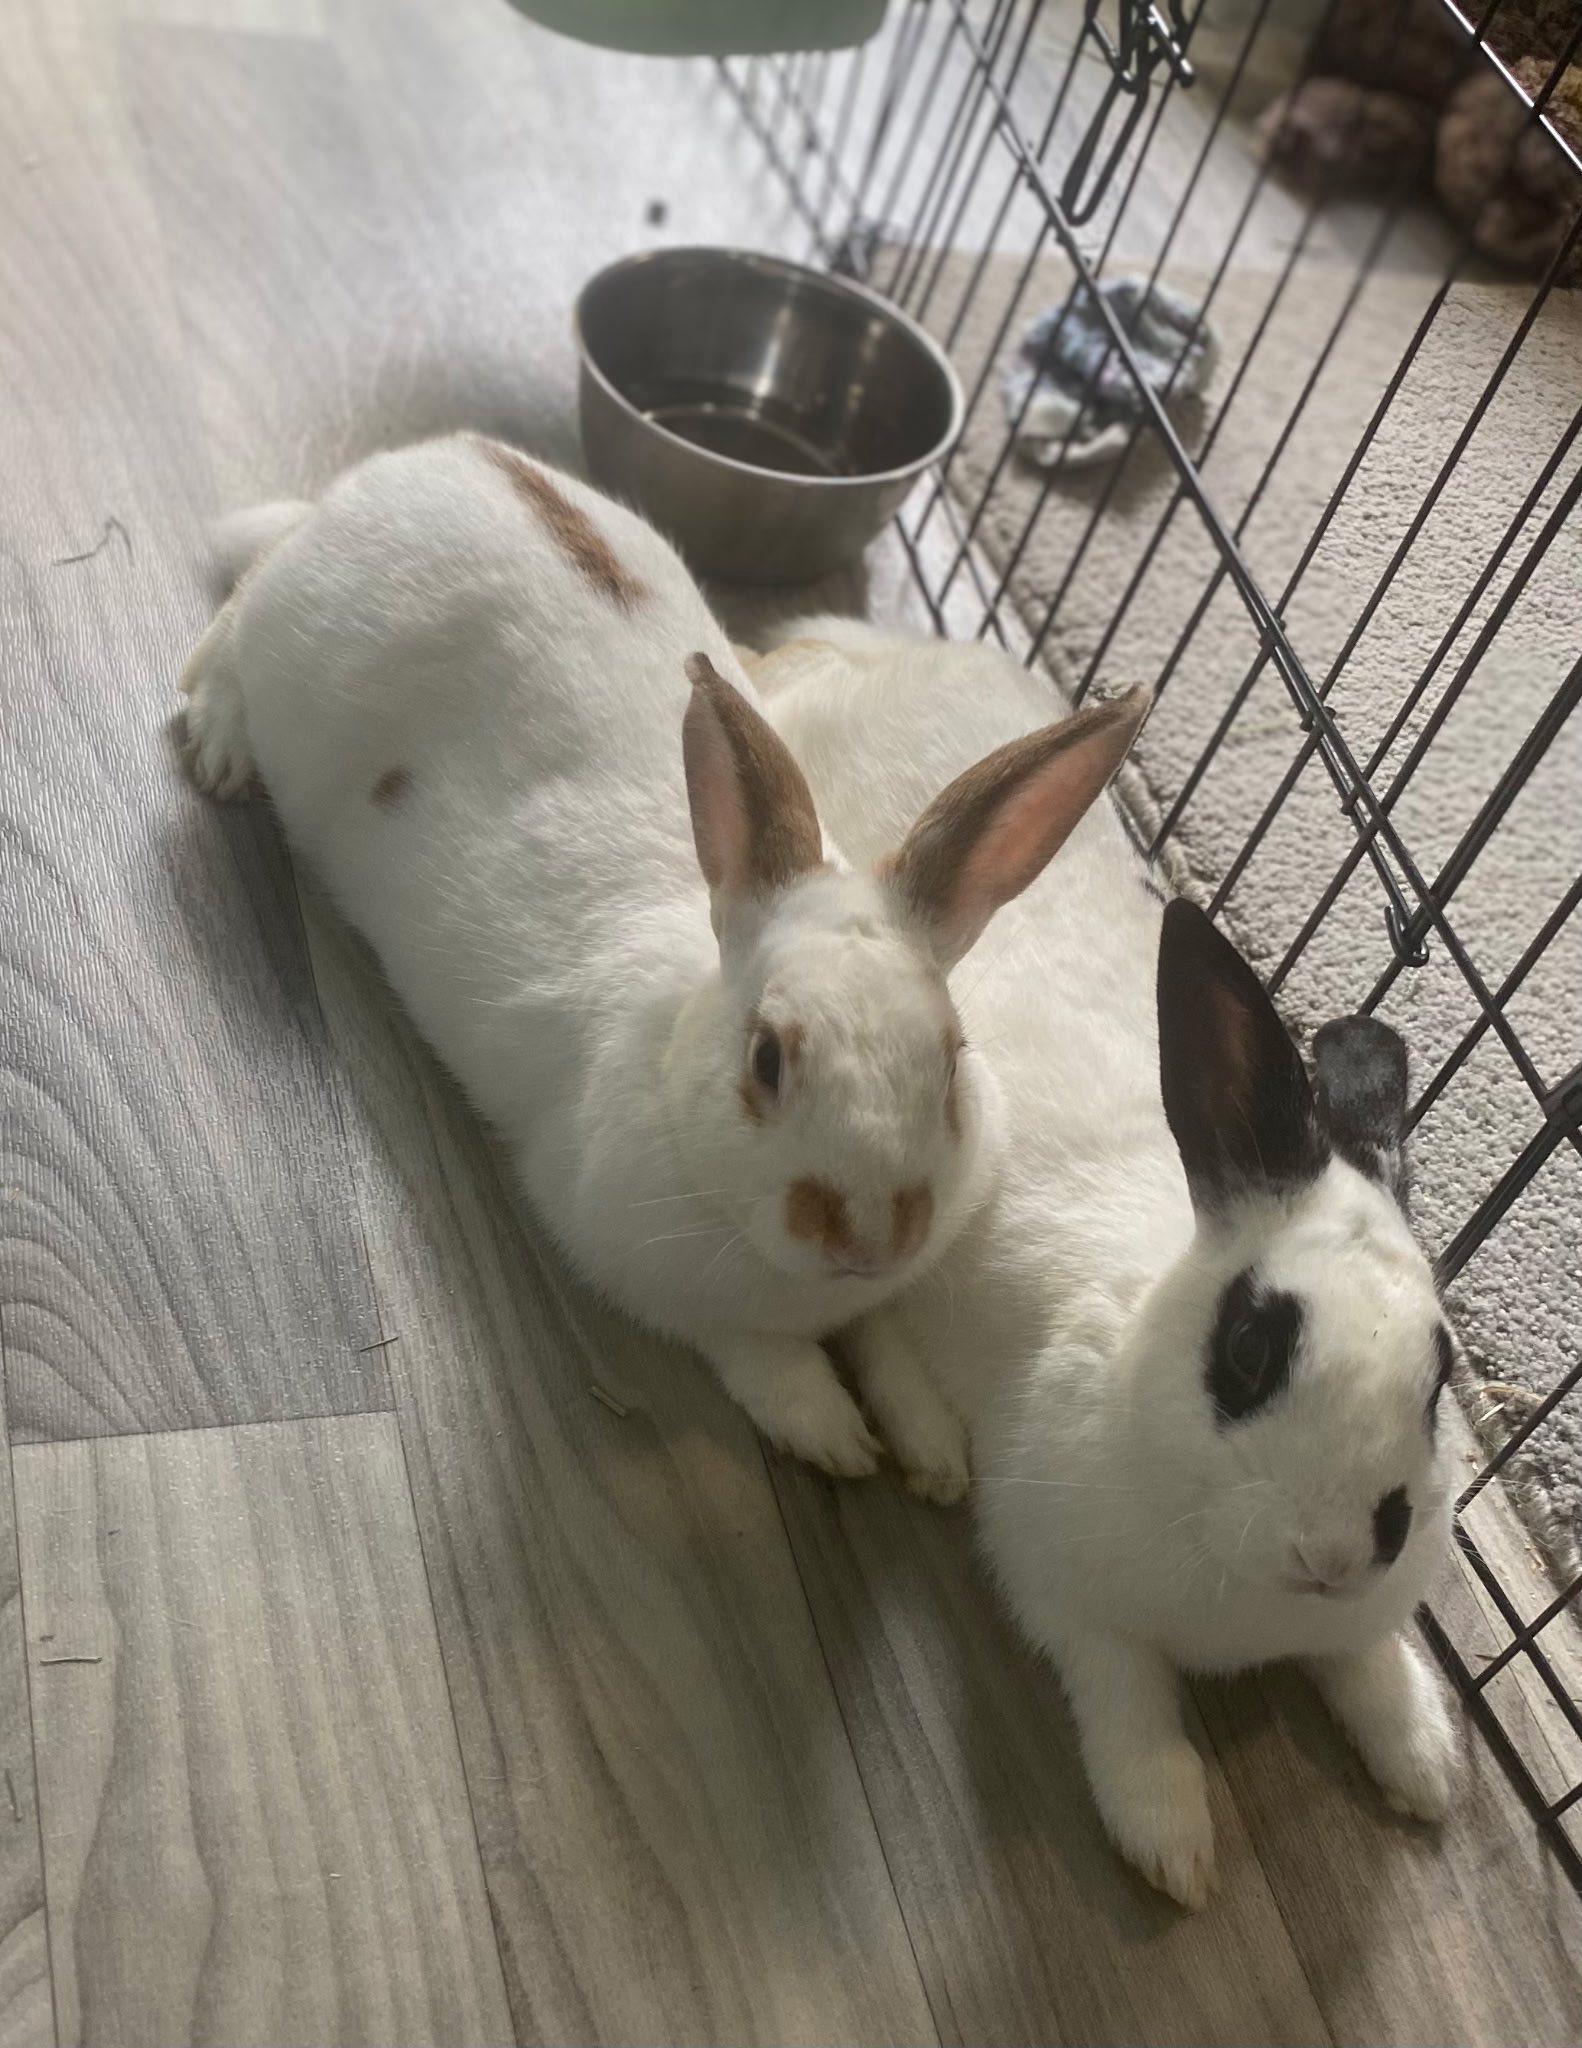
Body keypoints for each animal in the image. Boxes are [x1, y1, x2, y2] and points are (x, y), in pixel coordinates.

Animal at [177, 436, 1147, 1487]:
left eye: (952, 1064)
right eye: (766, 1060)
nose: (870, 1232)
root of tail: (416, 464)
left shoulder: (883, 1293)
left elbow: (890, 1342)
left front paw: (933, 1453)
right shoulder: (641, 1269)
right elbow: (757, 1354)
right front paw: (837, 1438)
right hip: (284, 644)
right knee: (232, 620)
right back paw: (219, 742)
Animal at [757, 617, 1458, 1908]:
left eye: (1437, 1383)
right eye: (1250, 1347)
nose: (1335, 1551)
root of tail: (845, 645)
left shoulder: (1359, 1619)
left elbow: (1373, 1661)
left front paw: (1429, 1765)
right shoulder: (1068, 1596)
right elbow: (1132, 1712)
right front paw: (1173, 1848)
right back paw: (930, 1440)